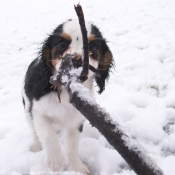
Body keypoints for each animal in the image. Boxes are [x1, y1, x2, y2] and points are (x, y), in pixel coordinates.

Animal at [21, 18, 114, 174]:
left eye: (92, 46)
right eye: (62, 44)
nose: (76, 60)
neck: (65, 89)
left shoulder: (76, 119)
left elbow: (72, 145)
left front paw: (76, 167)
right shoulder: (38, 111)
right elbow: (48, 135)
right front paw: (55, 162)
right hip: (27, 107)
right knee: (34, 130)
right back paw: (35, 145)